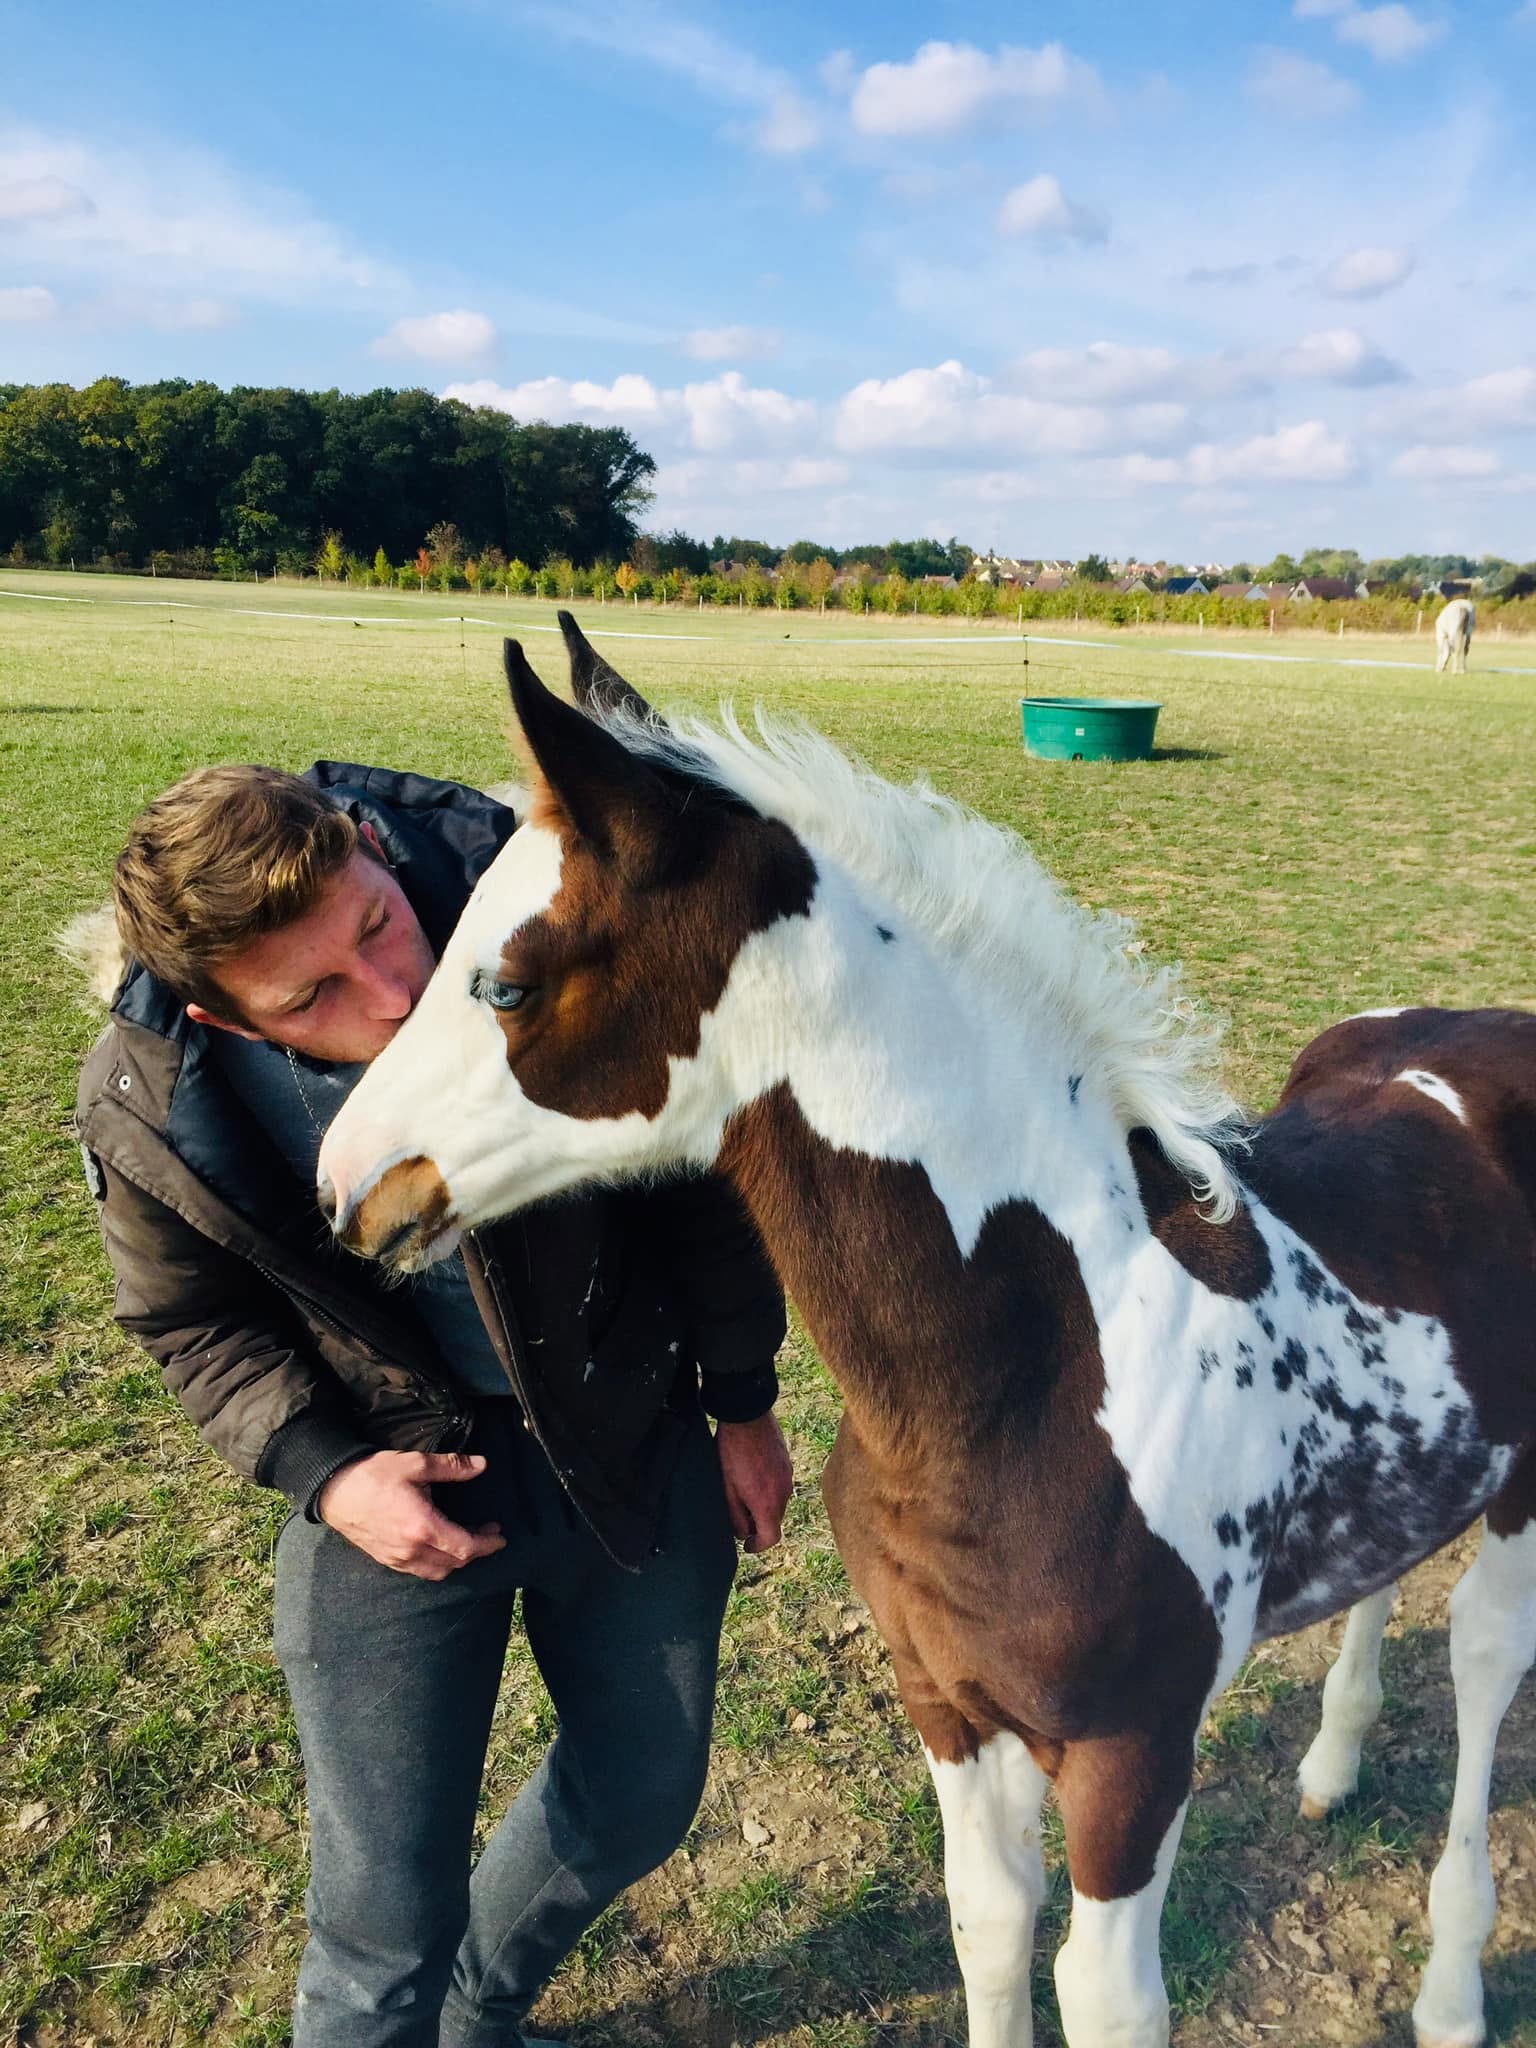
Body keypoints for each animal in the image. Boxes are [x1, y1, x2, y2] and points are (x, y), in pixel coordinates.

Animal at [318, 617, 1536, 2048]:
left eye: (505, 983)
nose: (342, 1182)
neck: (1038, 1372)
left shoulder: (1133, 1745)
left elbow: (1102, 1995)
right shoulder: (945, 1702)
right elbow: (989, 1929)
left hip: (1521, 1499)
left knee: (1484, 1661)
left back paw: (1451, 1990)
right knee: (1387, 1570)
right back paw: (1334, 1763)